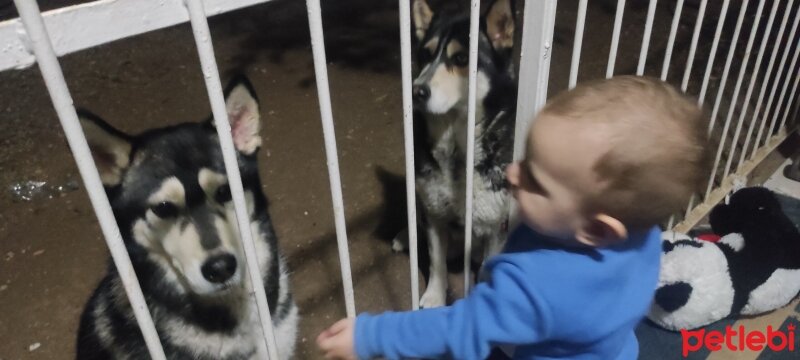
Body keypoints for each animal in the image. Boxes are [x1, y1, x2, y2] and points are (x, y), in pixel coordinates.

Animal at [400, 0, 520, 308]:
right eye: (426, 54)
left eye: (462, 58)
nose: (416, 91)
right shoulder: (434, 212)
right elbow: (436, 261)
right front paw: (434, 296)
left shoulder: (497, 226)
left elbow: (488, 266)